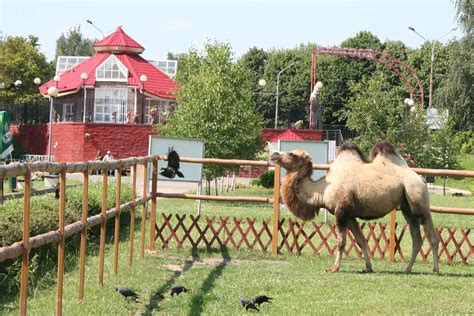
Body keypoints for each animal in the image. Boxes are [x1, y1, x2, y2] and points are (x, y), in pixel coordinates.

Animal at [270, 141, 440, 274]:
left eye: (292, 154)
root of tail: (421, 179)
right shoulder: (350, 215)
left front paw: (334, 268)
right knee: (416, 238)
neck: (322, 189)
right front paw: (368, 267)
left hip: (417, 197)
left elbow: (341, 242)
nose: (274, 155)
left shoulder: (341, 212)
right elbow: (361, 240)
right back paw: (407, 269)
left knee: (431, 235)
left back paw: (435, 270)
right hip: (406, 207)